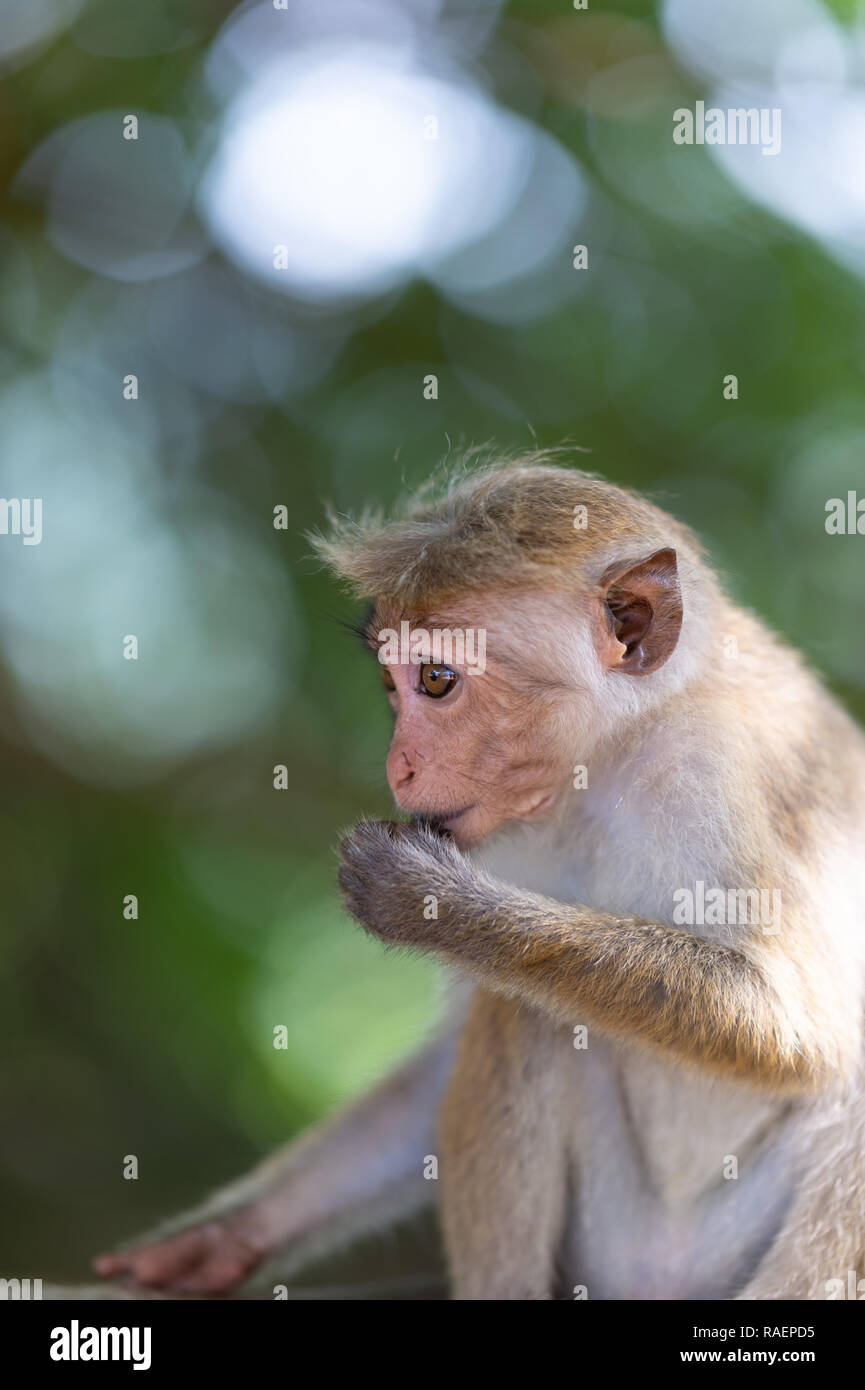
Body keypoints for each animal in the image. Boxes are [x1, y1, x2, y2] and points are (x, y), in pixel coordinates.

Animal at [94, 450, 865, 1295]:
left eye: (435, 681)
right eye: (391, 686)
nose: (397, 765)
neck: (606, 760)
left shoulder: (712, 771)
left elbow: (790, 1030)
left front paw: (429, 901)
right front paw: (221, 1237)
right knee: (520, 1016)